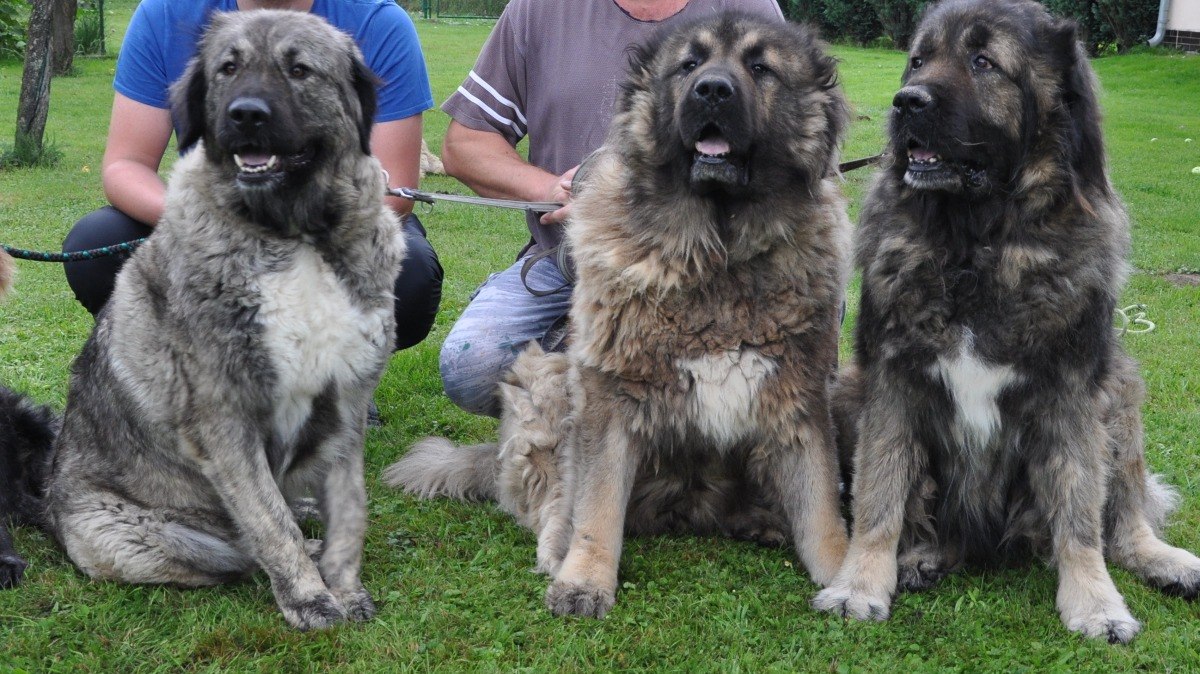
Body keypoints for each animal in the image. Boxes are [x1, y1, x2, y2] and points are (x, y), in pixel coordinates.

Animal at [44, 11, 405, 628]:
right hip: (138, 536)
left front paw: (344, 586)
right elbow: (268, 525)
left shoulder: (347, 401)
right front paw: (310, 596)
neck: (291, 234)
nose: (246, 115)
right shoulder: (222, 417)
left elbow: (344, 509)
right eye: (227, 69)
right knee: (237, 549)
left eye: (299, 69)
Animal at [384, 11, 854, 614]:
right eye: (689, 65)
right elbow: (597, 506)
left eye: (759, 67)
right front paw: (584, 579)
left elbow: (821, 509)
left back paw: (761, 519)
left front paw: (850, 577)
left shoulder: (798, 396)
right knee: (555, 498)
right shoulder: (609, 395)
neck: (718, 249)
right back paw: (557, 545)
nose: (712, 90)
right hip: (545, 380)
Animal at [816, 0, 1200, 642]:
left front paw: (1095, 603)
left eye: (983, 62)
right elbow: (880, 496)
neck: (978, 249)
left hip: (1120, 392)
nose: (906, 102)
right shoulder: (891, 382)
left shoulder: (1072, 394)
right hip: (847, 390)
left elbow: (1080, 517)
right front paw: (859, 585)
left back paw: (1167, 561)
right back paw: (921, 556)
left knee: (1125, 516)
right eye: (917, 60)